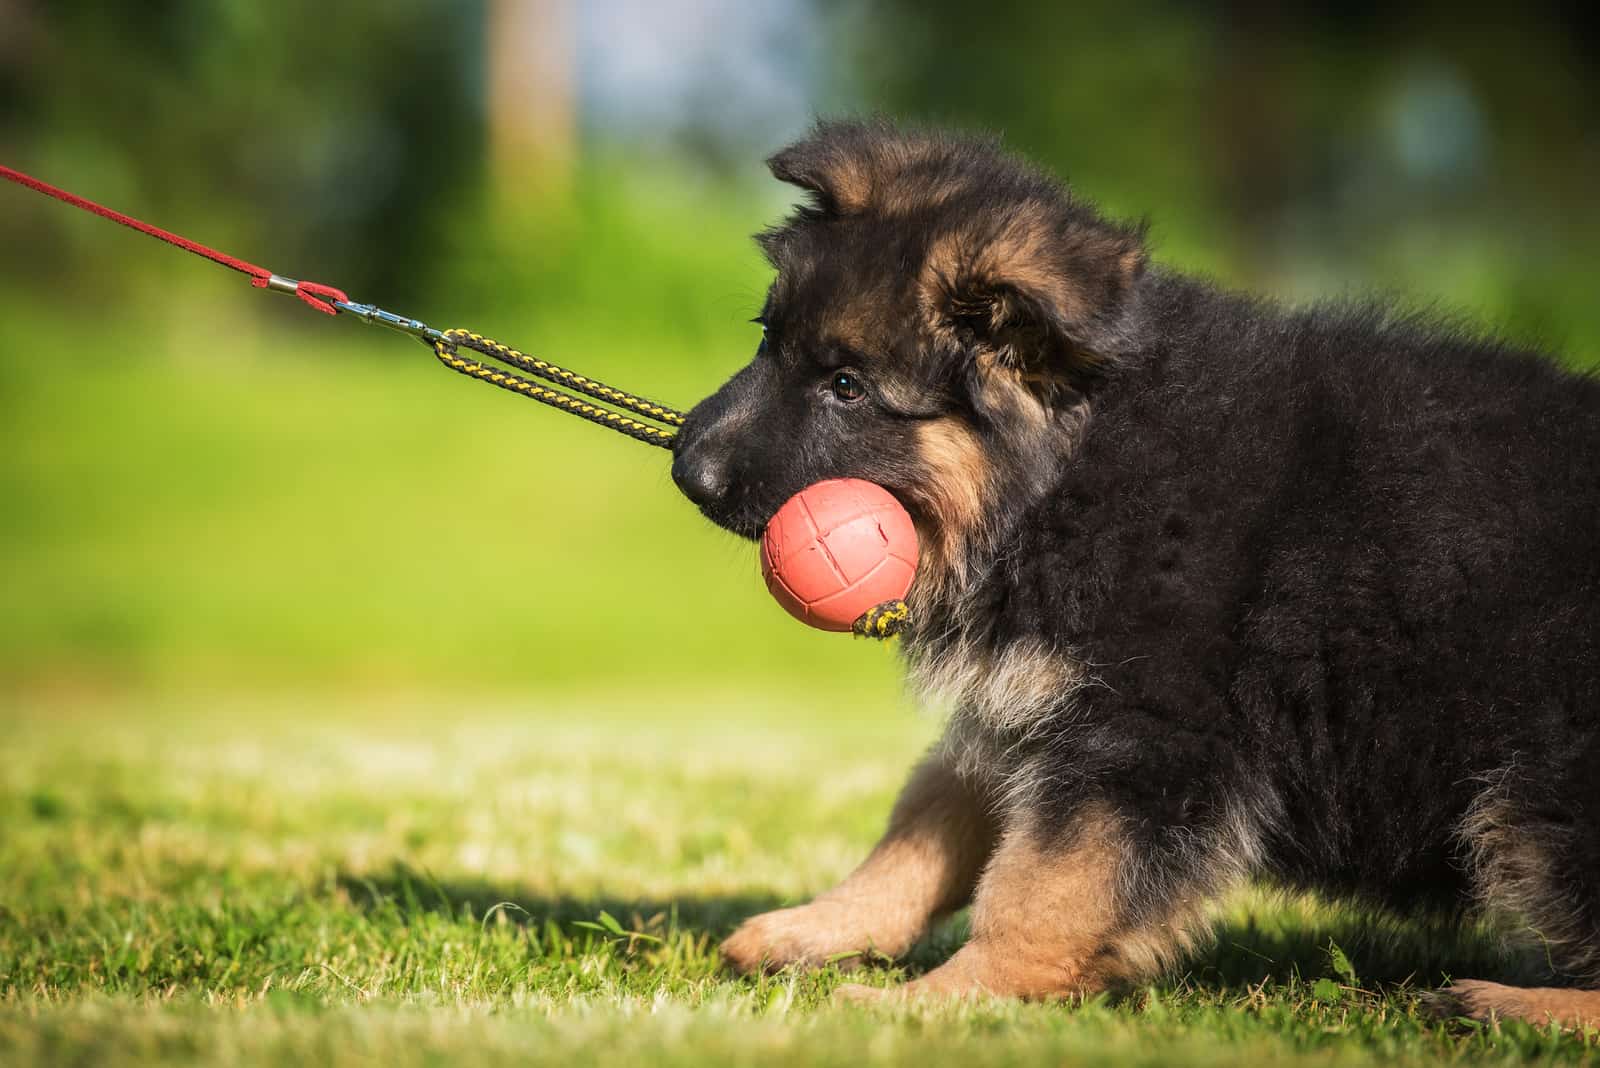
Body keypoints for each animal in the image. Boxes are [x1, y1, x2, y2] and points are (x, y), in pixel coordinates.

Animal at [668, 119, 1593, 1023]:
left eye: (848, 387)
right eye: (767, 340)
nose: (687, 472)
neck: (1071, 464)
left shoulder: (1146, 737)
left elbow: (1040, 887)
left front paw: (942, 1000)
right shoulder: (1031, 701)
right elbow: (931, 818)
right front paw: (821, 928)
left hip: (1540, 785)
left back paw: (1510, 1003)